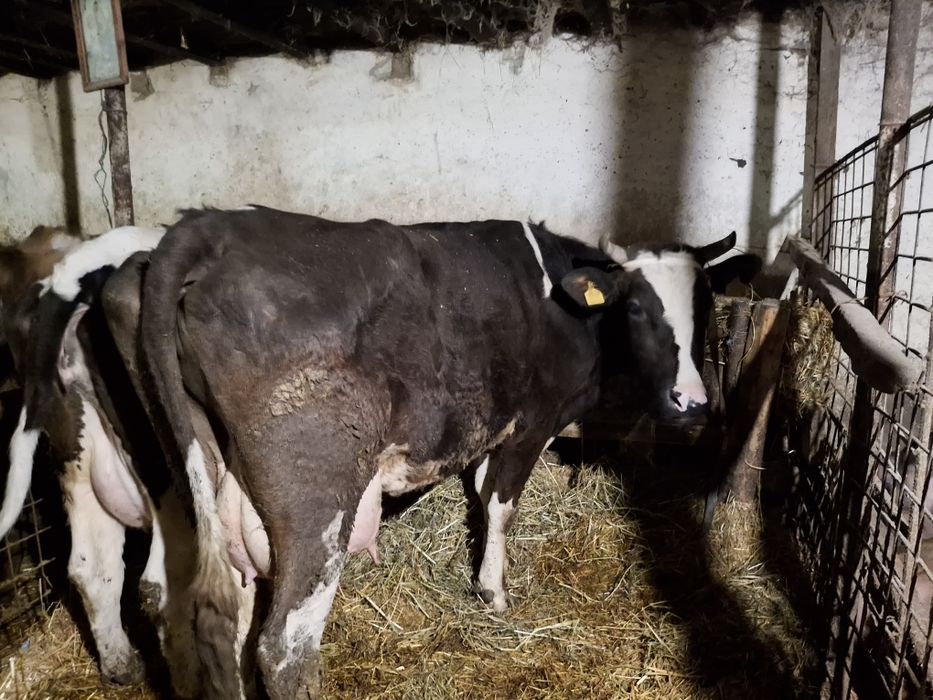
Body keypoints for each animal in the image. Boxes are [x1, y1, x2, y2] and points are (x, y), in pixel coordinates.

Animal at [138, 206, 759, 699]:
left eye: (705, 305)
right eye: (637, 310)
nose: (691, 401)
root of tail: (213, 228)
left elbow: (482, 494)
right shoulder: (532, 422)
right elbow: (502, 504)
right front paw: (493, 592)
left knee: (222, 623)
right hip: (316, 496)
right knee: (285, 646)